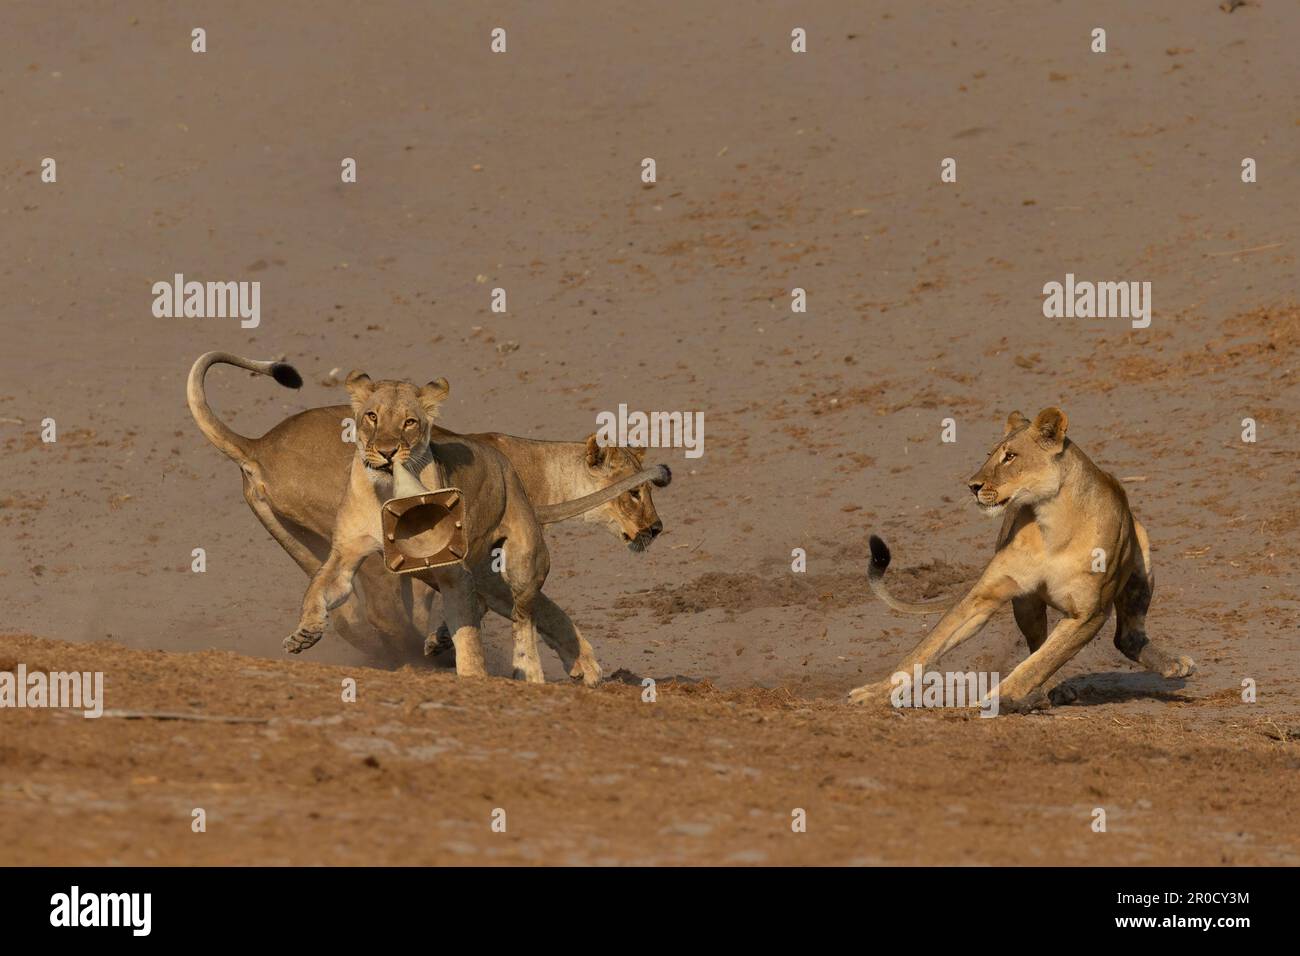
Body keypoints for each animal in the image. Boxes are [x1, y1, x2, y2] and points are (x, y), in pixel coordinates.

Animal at [187, 356, 665, 676]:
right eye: (635, 493)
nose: (656, 528)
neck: (536, 469)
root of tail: (258, 445)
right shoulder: (484, 559)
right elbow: (541, 608)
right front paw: (584, 662)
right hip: (363, 551)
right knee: (382, 614)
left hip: (304, 543)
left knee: (348, 616)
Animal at [847, 408, 1190, 712]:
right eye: (990, 454)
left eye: (1010, 456)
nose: (973, 486)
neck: (1053, 523)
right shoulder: (984, 595)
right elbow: (927, 647)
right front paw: (873, 693)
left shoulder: (1088, 614)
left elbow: (1036, 665)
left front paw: (990, 701)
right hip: (1026, 604)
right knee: (1040, 643)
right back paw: (1043, 695)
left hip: (1142, 559)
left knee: (1126, 636)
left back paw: (1175, 665)